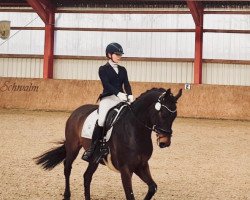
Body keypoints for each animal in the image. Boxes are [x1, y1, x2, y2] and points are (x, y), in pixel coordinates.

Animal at [34, 87, 182, 200]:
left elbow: (152, 187)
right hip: (73, 147)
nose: (165, 142)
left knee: (87, 176)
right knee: (67, 167)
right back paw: (67, 195)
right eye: (162, 113)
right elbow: (130, 195)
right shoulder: (126, 169)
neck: (134, 131)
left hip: (94, 158)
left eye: (174, 116)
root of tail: (76, 111)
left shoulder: (141, 165)